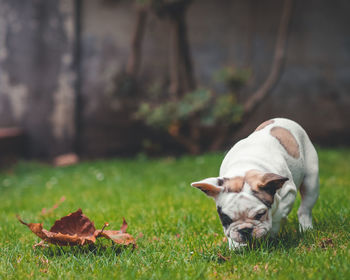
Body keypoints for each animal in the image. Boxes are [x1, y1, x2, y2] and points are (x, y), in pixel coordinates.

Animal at [191, 117, 320, 249]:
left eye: (260, 215)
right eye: (226, 219)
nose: (245, 230)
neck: (244, 168)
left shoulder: (288, 192)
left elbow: (278, 215)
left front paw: (271, 234)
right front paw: (236, 245)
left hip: (311, 182)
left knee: (305, 208)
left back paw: (306, 228)